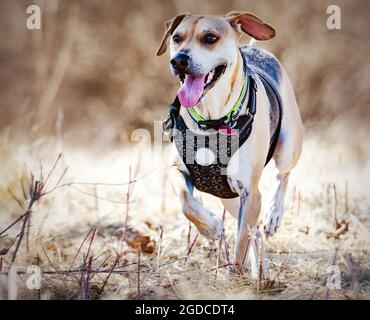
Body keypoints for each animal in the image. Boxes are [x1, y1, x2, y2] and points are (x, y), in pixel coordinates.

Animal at [156, 11, 304, 278]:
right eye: (176, 38)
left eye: (210, 38)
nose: (179, 60)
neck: (211, 120)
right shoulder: (178, 170)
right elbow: (185, 202)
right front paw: (210, 227)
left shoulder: (251, 193)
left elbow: (241, 242)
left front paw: (236, 274)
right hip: (230, 197)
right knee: (255, 230)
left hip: (288, 146)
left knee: (283, 175)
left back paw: (274, 215)